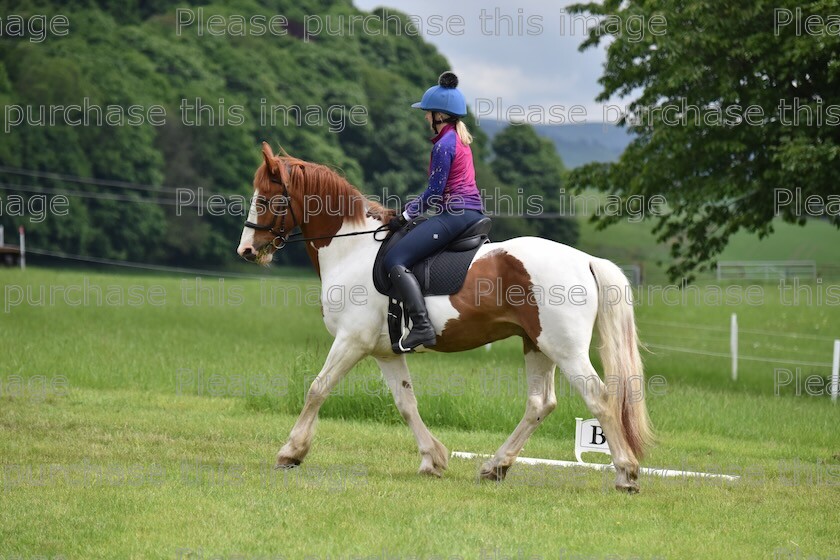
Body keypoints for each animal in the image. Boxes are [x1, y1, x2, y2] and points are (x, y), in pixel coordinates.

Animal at [238, 142, 656, 492]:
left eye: (271, 201)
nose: (246, 251)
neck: (352, 250)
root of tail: (585, 260)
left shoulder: (351, 342)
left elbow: (317, 388)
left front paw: (291, 452)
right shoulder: (385, 352)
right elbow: (406, 403)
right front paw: (433, 460)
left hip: (565, 349)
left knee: (598, 398)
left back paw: (626, 474)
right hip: (537, 344)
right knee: (540, 403)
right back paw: (495, 467)